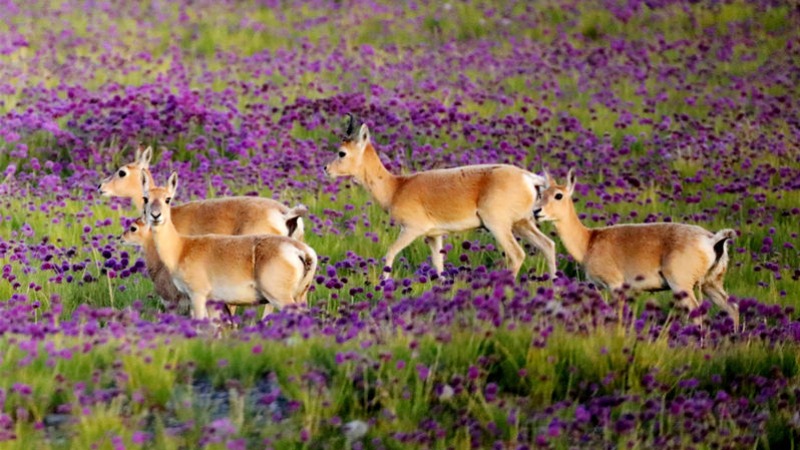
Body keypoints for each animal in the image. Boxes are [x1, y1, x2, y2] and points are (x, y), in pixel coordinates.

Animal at [143, 172, 317, 320]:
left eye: (168, 199)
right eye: (146, 198)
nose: (155, 215)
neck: (182, 247)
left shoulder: (197, 296)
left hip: (279, 297)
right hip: (300, 295)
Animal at [324, 114, 556, 279]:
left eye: (342, 152)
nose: (326, 169)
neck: (397, 186)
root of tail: (528, 177)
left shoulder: (411, 230)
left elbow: (389, 252)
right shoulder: (434, 236)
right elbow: (439, 266)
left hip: (499, 226)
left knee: (517, 255)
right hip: (522, 223)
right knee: (548, 245)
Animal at [533, 169, 739, 329]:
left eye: (558, 195)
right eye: (541, 194)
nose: (536, 211)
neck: (589, 240)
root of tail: (713, 240)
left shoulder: (616, 286)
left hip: (682, 286)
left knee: (699, 314)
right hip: (711, 284)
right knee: (733, 309)